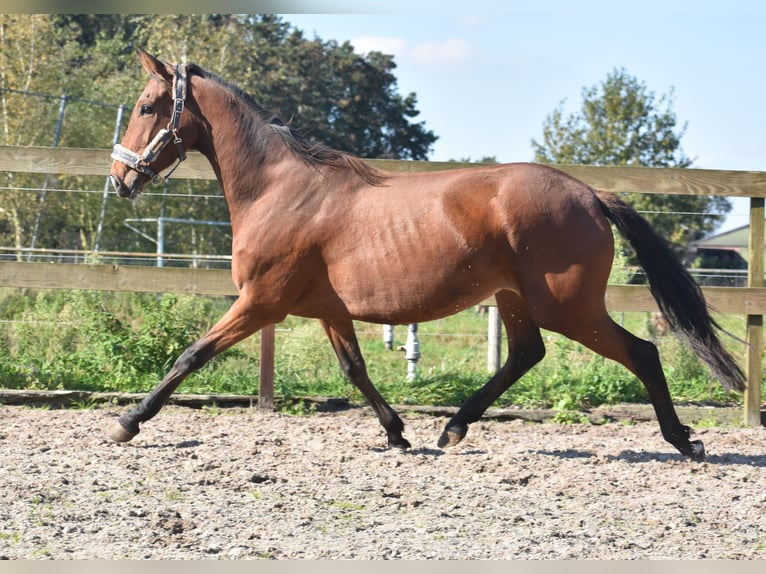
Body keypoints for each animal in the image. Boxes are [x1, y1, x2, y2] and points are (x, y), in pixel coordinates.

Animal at [106, 49, 744, 464]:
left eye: (146, 107)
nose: (119, 179)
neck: (279, 190)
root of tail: (590, 194)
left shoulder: (261, 303)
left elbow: (191, 356)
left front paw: (128, 422)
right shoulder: (328, 310)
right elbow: (356, 369)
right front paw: (396, 433)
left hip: (568, 306)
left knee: (641, 352)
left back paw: (684, 440)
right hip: (515, 299)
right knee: (526, 354)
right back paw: (454, 428)